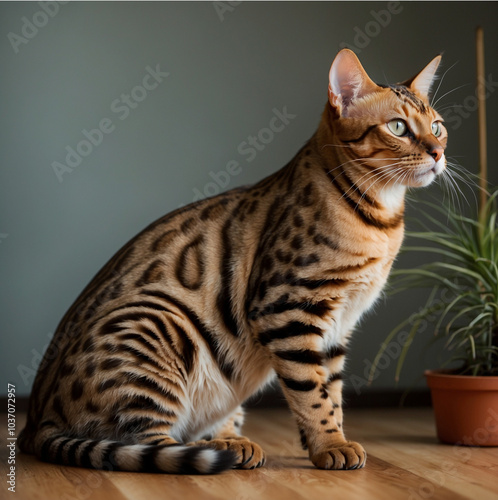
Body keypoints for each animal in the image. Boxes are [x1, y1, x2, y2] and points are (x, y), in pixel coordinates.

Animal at [20, 49, 448, 472]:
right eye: (397, 127)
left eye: (438, 127)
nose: (438, 152)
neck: (381, 220)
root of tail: (34, 424)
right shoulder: (288, 309)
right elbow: (312, 393)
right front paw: (330, 444)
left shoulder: (338, 327)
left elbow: (333, 390)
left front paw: (330, 438)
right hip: (160, 322)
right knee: (149, 446)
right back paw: (212, 450)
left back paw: (230, 440)